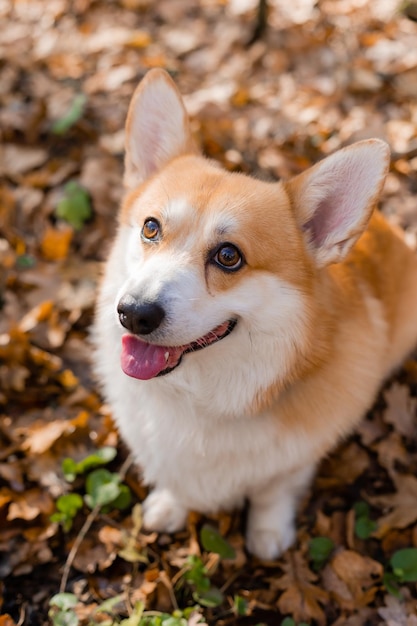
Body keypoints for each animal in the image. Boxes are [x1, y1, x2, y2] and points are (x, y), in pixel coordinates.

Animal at [92, 69, 416, 560]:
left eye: (229, 256)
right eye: (151, 227)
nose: (134, 314)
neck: (200, 398)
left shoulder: (296, 459)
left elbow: (272, 491)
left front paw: (267, 533)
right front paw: (170, 506)